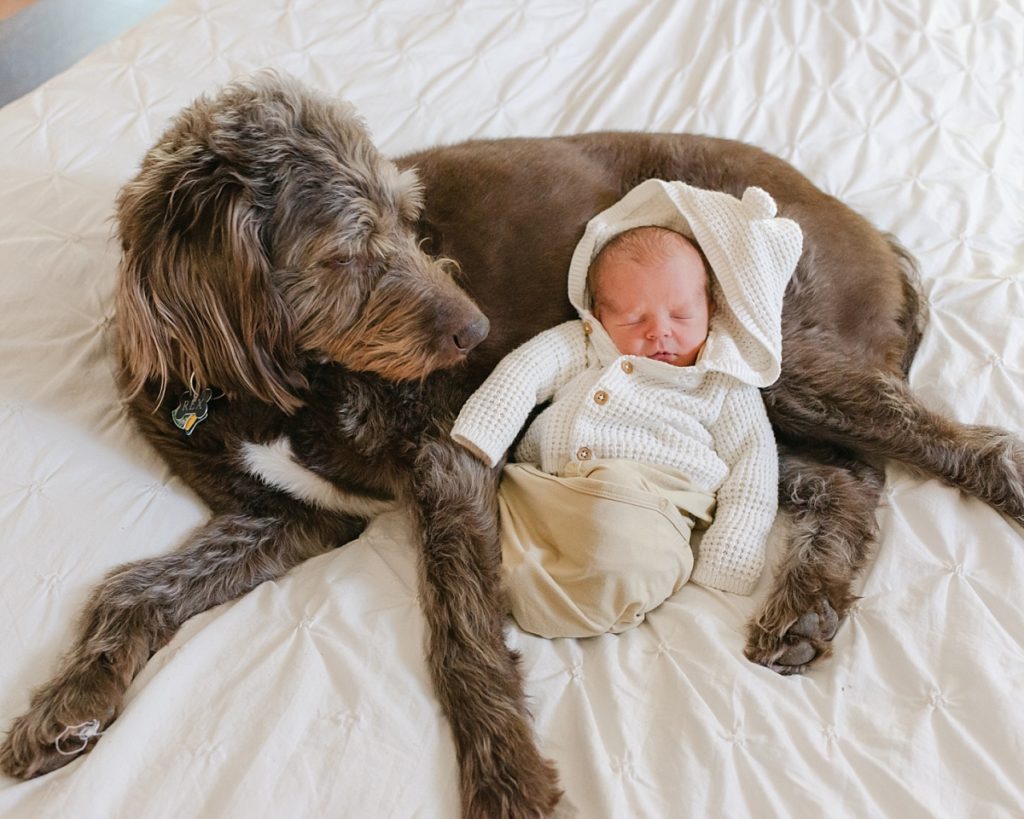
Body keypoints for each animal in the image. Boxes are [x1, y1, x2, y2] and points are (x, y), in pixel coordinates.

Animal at [0, 73, 1019, 814]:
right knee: (847, 482)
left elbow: (459, 633)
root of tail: (876, 234)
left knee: (963, 444)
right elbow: (132, 587)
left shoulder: (448, 463)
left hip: (763, 351)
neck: (261, 388)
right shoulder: (291, 517)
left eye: (405, 218)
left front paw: (505, 777)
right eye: (344, 250)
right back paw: (807, 606)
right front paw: (66, 704)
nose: (475, 327)